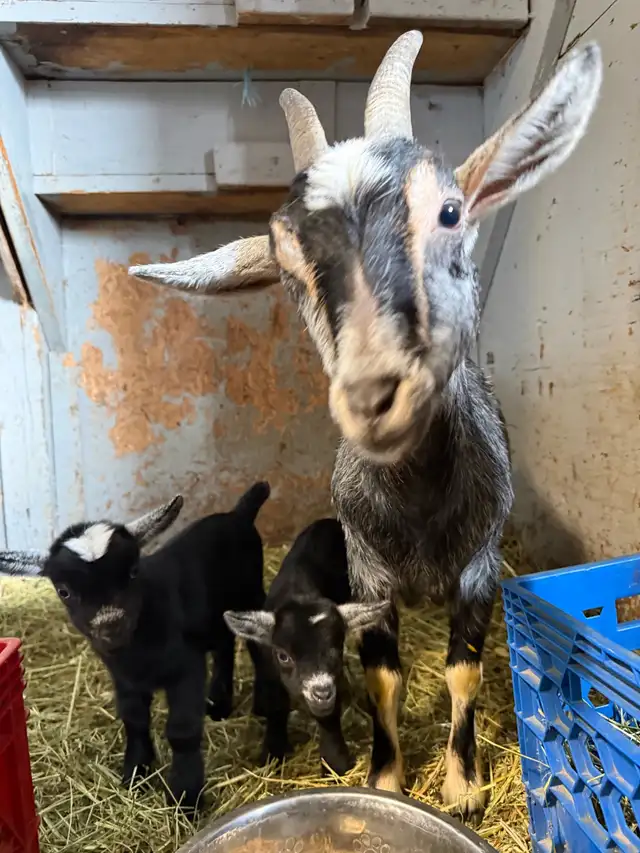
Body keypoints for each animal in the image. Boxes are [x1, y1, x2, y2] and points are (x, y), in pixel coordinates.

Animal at [0, 483, 278, 815]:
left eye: (133, 571)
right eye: (64, 591)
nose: (111, 624)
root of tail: (238, 514)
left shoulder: (186, 669)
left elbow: (182, 731)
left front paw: (185, 797)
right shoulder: (124, 679)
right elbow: (134, 720)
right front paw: (135, 774)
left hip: (251, 595)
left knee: (256, 647)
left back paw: (262, 703)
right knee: (224, 645)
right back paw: (219, 705)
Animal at [224, 517, 388, 776]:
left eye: (336, 649)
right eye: (283, 656)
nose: (320, 692)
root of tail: (328, 521)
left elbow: (329, 716)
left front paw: (335, 763)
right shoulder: (271, 666)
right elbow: (276, 703)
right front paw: (273, 752)